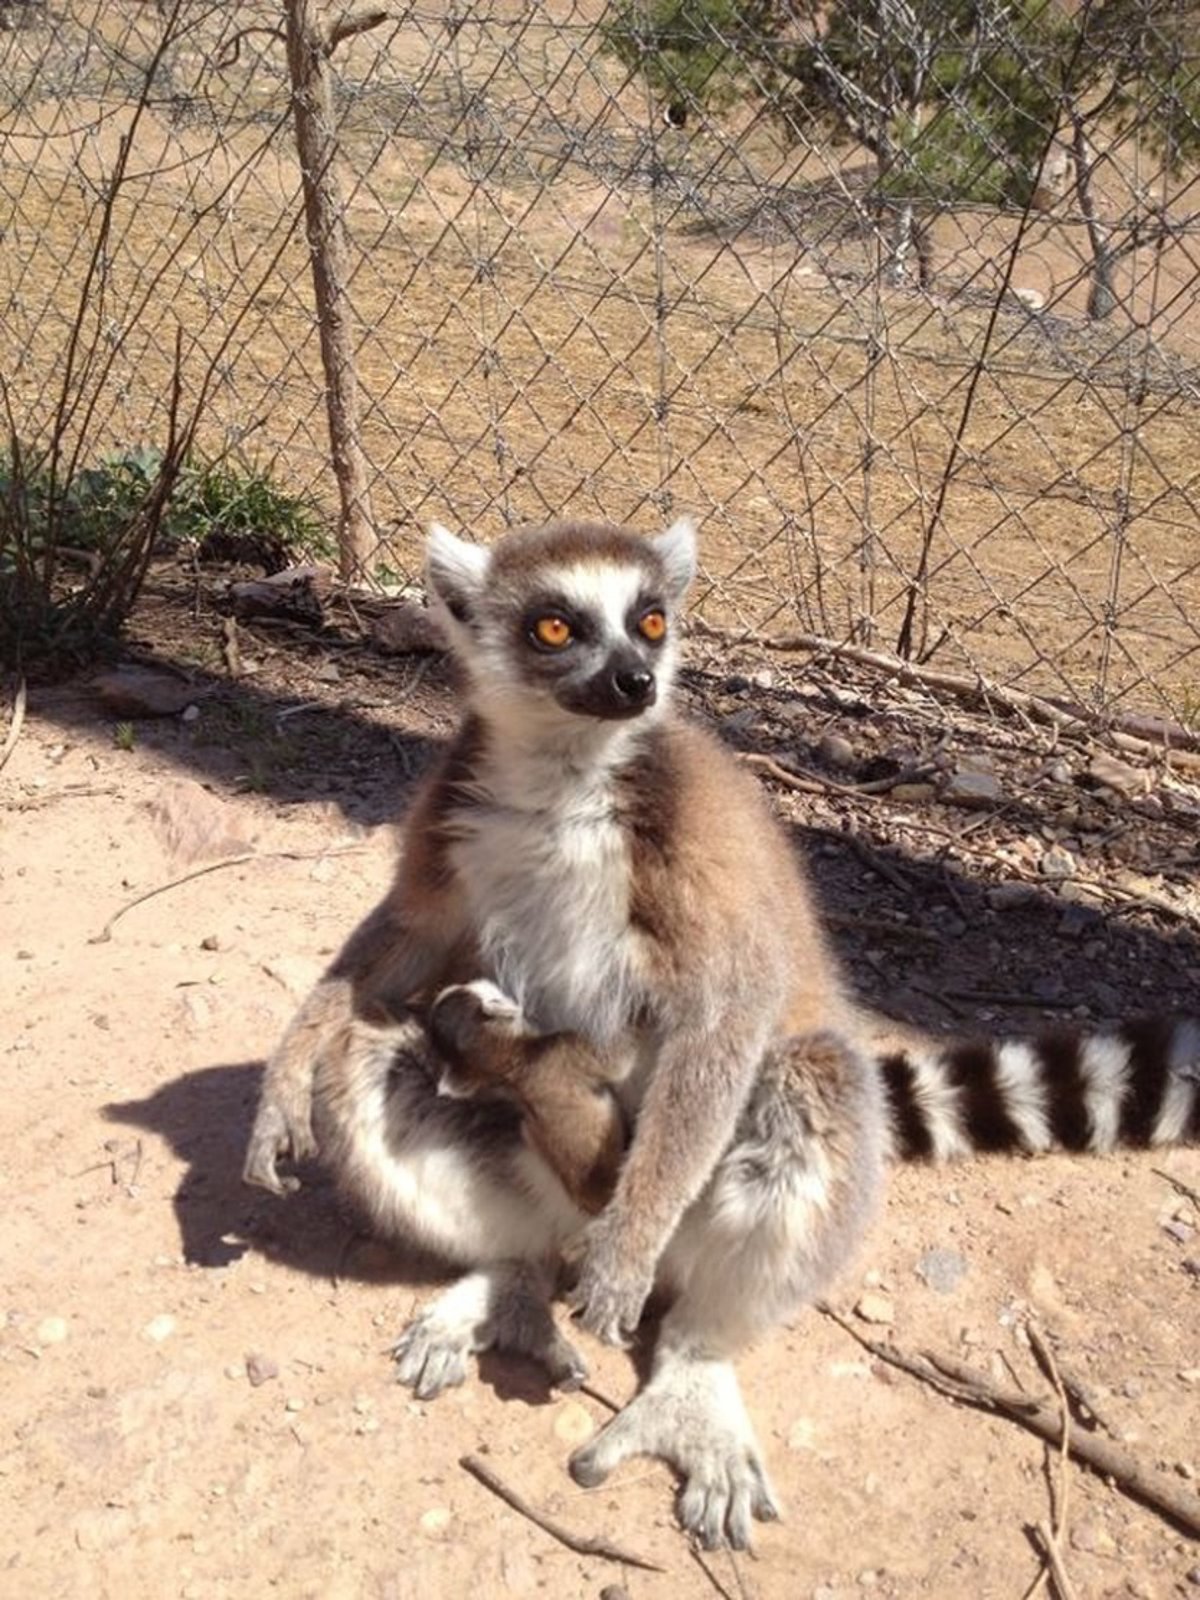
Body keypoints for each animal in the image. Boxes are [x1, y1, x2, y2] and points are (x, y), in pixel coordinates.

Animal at [245, 515, 1200, 1552]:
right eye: (556, 627)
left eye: (652, 621)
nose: (637, 681)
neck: (566, 775)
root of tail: (572, 1217)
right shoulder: (455, 805)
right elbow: (401, 942)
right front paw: (280, 1084)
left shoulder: (696, 836)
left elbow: (725, 1011)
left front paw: (627, 1260)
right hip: (520, 1186)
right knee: (379, 1064)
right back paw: (512, 1287)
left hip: (713, 1187)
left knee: (803, 1081)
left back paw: (685, 1366)